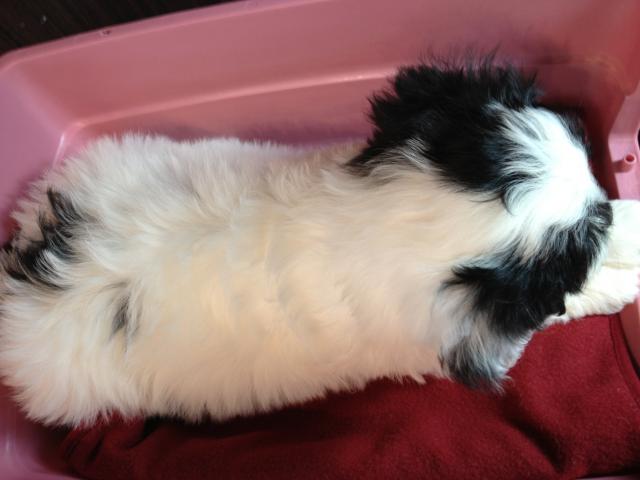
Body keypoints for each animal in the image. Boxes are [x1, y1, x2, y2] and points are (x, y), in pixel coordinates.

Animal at [1, 57, 639, 426]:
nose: (604, 203)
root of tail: (33, 272)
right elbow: (565, 307)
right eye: (578, 246)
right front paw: (623, 261)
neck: (382, 221)